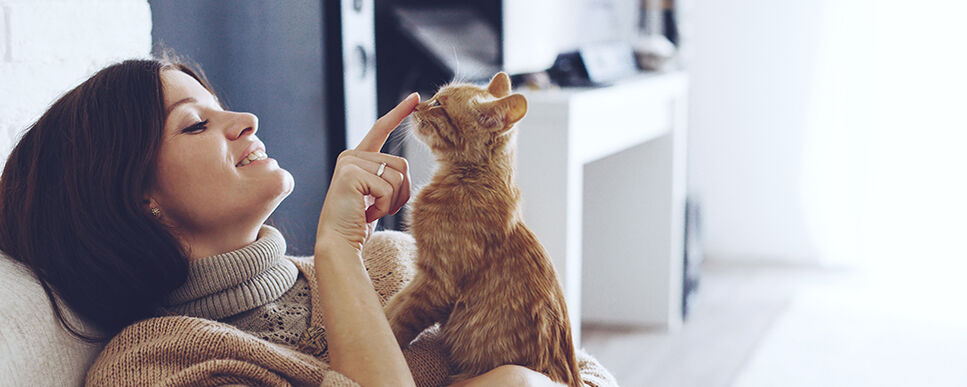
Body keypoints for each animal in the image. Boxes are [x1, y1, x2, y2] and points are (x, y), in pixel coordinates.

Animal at [386, 73, 584, 387]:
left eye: (439, 104)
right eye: (434, 97)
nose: (417, 105)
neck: (469, 180)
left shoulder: (436, 283)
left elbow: (399, 323)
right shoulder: (422, 277)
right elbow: (393, 304)